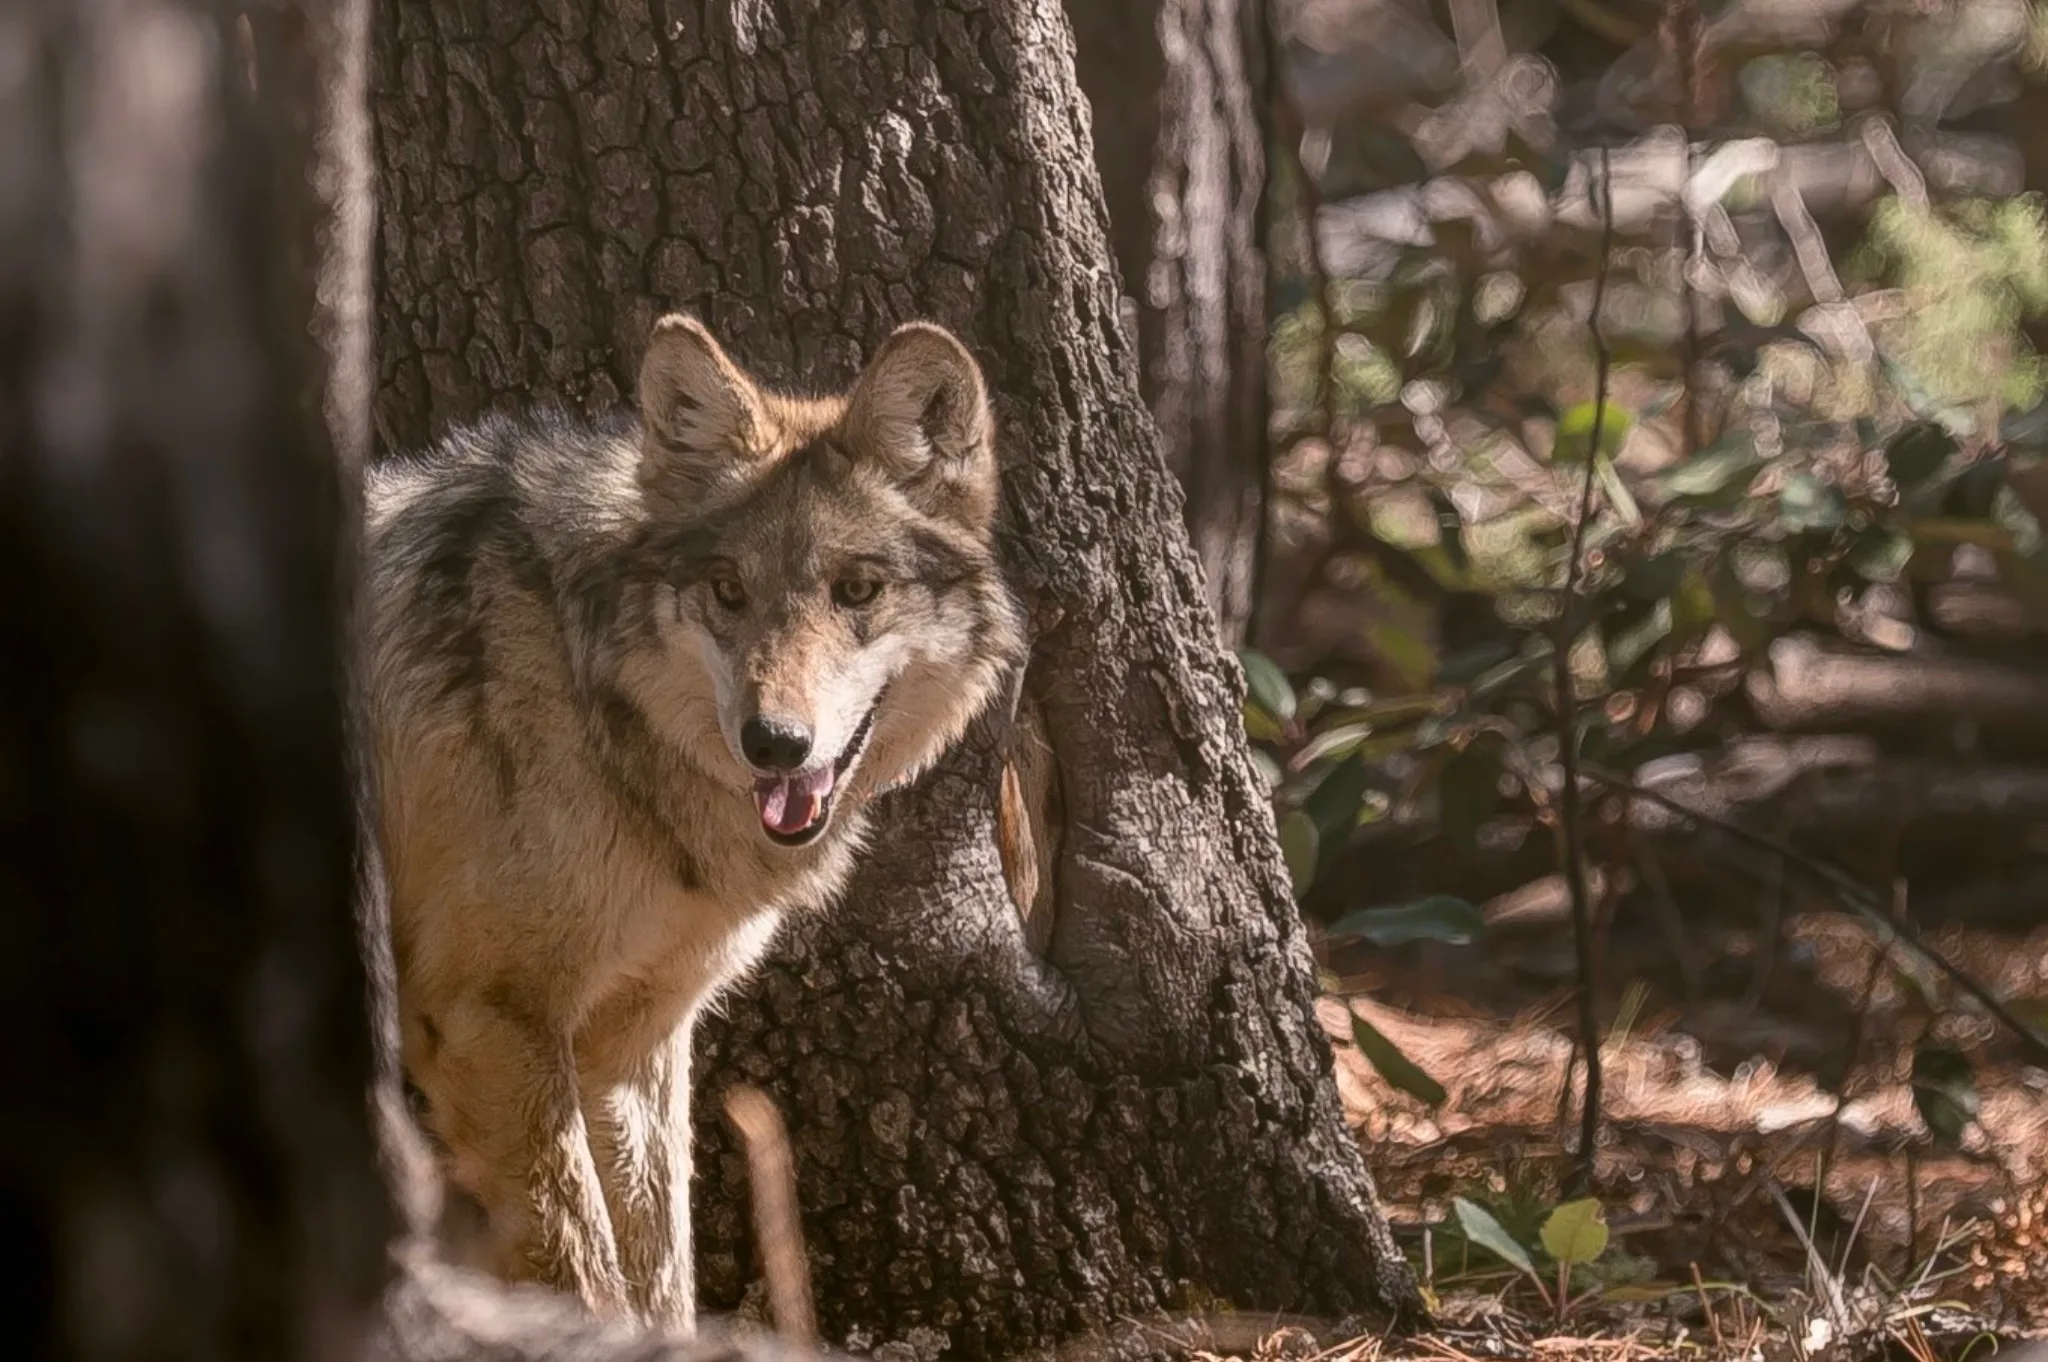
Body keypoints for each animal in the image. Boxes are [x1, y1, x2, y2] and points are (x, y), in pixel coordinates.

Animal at [360, 314, 1026, 1331]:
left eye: (858, 590)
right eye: (728, 590)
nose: (775, 743)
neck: (586, 687)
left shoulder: (635, 1042)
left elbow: (659, 1269)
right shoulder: (490, 1018)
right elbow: (583, 1268)